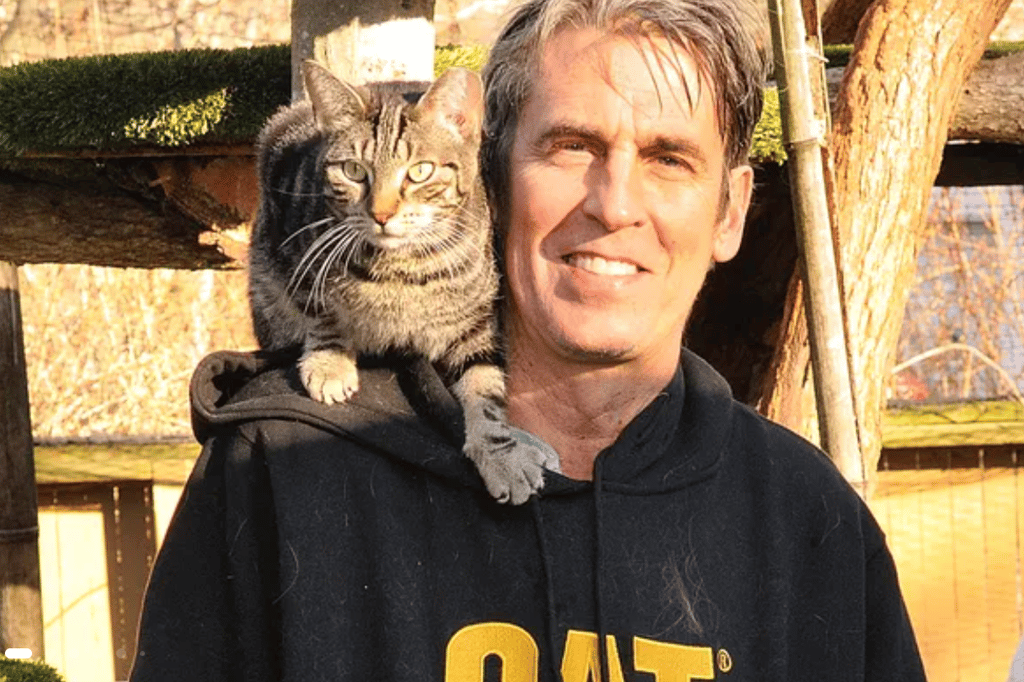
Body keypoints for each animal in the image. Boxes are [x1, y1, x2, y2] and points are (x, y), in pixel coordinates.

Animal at [247, 60, 550, 505]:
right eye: (354, 171)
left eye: (420, 172)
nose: (382, 214)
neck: (401, 270)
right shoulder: (295, 245)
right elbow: (320, 309)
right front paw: (329, 361)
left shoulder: (476, 320)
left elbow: (485, 386)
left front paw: (500, 454)